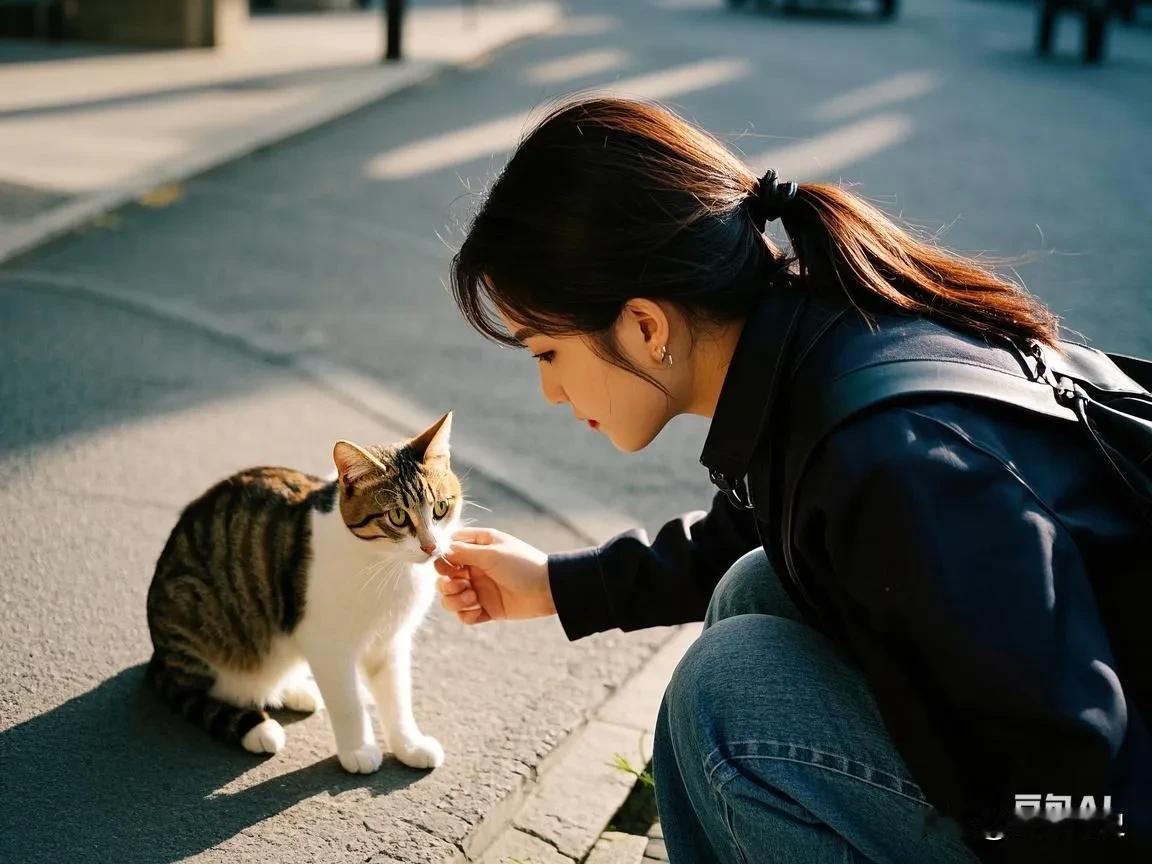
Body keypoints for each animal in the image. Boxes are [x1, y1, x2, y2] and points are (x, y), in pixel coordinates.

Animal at [146, 410, 460, 774]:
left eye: (441, 508)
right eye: (397, 516)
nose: (431, 546)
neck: (389, 567)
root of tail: (159, 654)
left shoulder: (390, 641)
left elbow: (397, 699)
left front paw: (409, 746)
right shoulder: (325, 641)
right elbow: (348, 701)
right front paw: (358, 750)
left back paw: (297, 691)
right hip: (194, 611)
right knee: (199, 690)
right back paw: (258, 727)